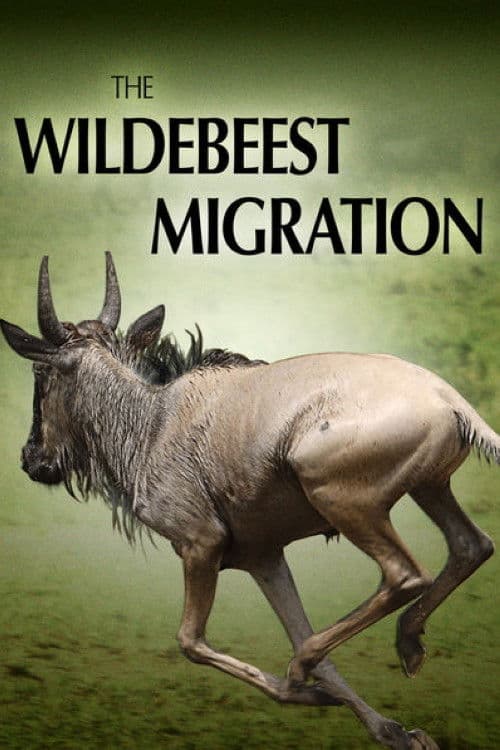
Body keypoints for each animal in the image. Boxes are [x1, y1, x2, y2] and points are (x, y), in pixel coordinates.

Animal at [1, 254, 497, 750]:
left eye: (40, 373)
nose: (31, 458)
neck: (149, 423)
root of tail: (449, 400)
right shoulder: (264, 557)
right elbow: (305, 636)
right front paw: (395, 732)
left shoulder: (200, 543)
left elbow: (191, 640)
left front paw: (304, 690)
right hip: (430, 488)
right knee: (471, 544)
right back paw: (409, 646)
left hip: (341, 499)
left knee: (404, 574)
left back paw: (313, 666)